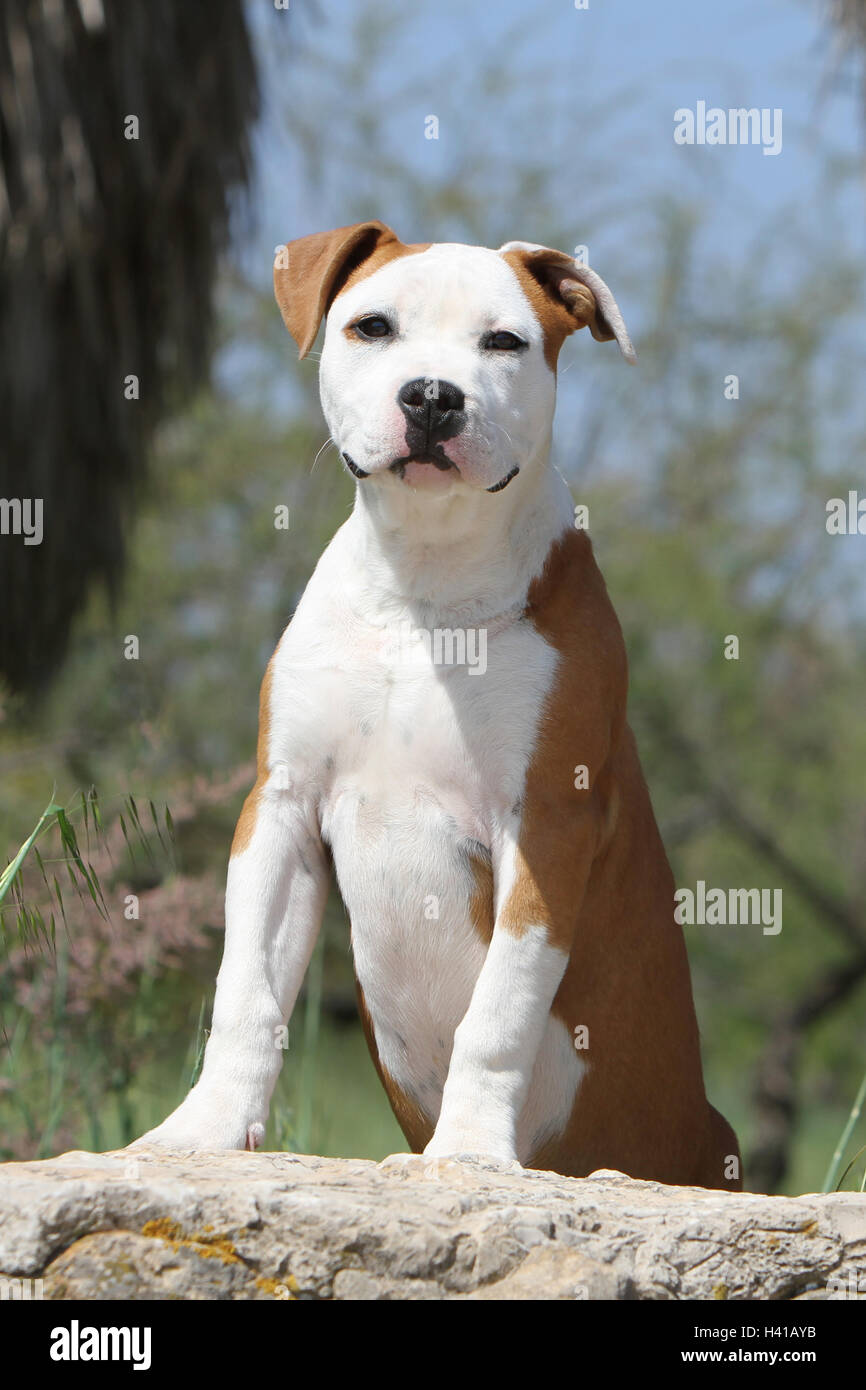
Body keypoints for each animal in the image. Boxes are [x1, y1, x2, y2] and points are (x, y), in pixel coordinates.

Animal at [134, 222, 739, 1189]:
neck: (425, 584)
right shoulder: (281, 807)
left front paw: (468, 1154)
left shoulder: (546, 822)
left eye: (504, 342)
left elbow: (498, 1014)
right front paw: (202, 1130)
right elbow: (246, 993)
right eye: (372, 326)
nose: (430, 396)